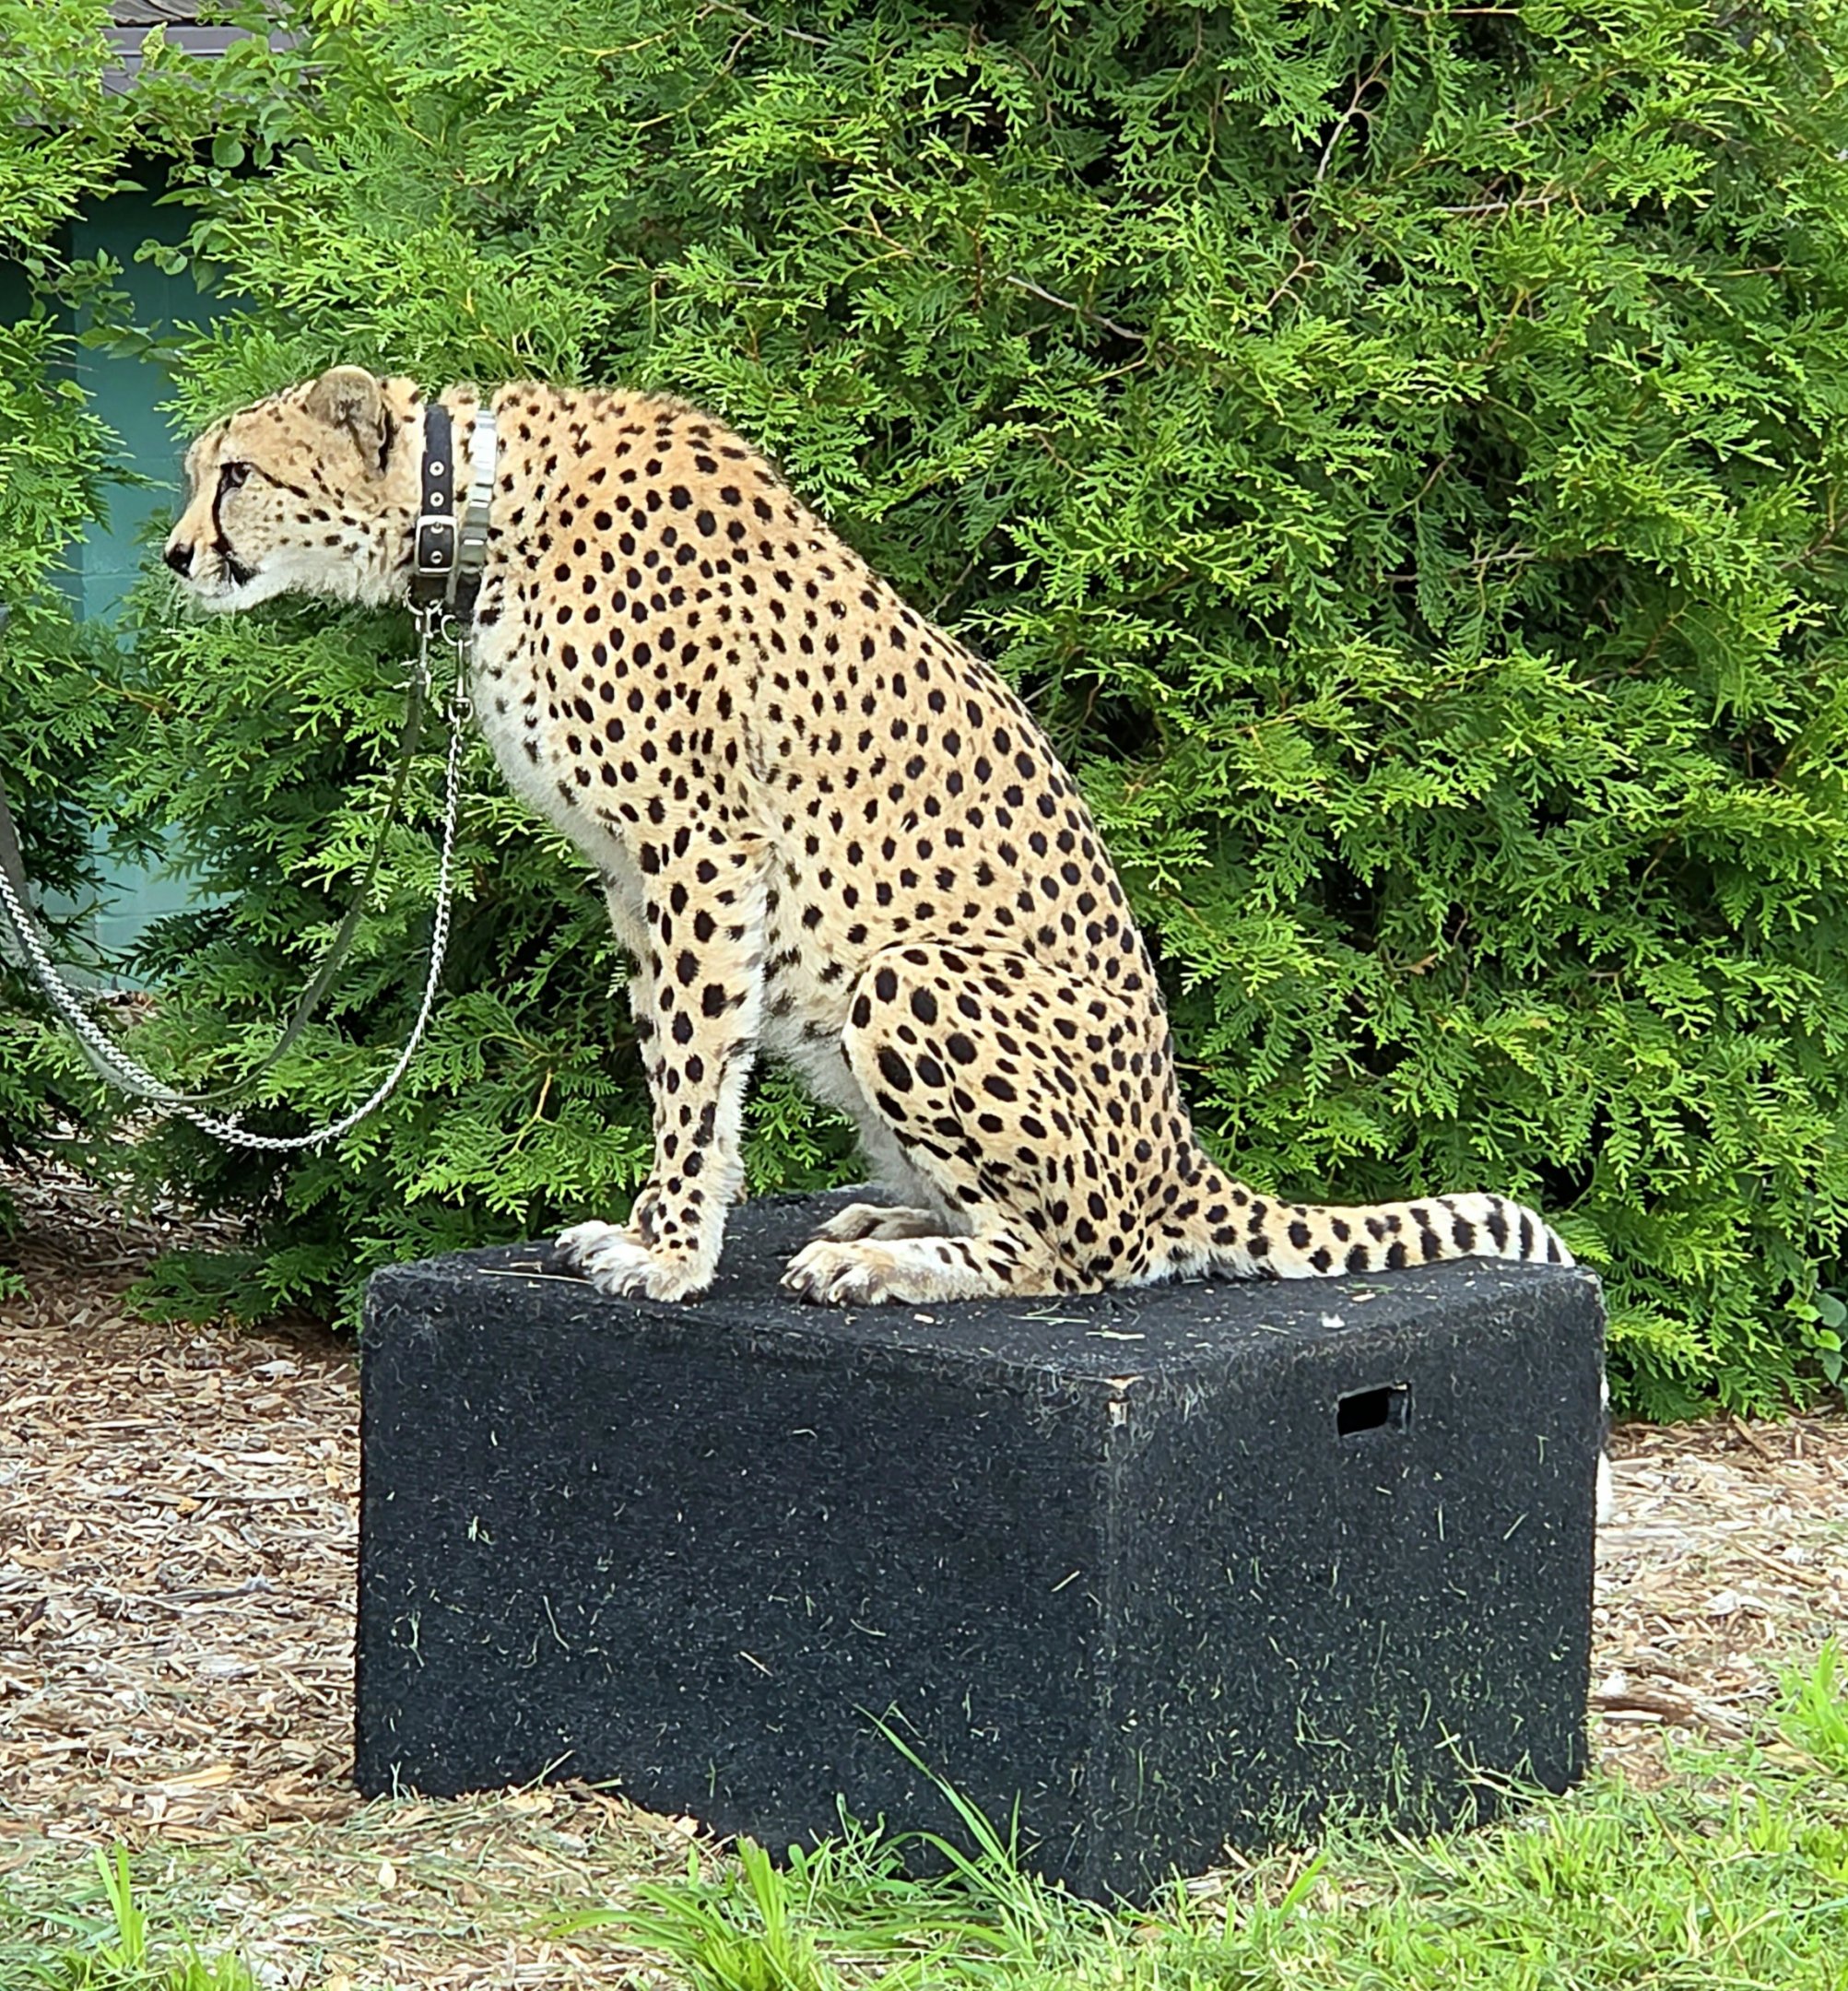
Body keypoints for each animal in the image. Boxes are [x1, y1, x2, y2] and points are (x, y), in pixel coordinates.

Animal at [165, 367, 1590, 1325]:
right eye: (197, 473)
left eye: (236, 474)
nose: (176, 556)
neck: (475, 510)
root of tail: (1182, 1156)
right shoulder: (632, 875)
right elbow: (685, 1055)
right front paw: (668, 1224)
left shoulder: (698, 847)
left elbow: (691, 1070)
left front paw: (669, 1253)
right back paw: (890, 1211)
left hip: (908, 975)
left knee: (1076, 1260)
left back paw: (880, 1259)